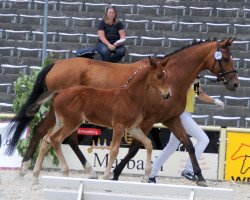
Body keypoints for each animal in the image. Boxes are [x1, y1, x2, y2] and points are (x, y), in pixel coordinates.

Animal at [28, 56, 170, 181]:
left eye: (166, 75)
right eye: (159, 76)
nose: (167, 94)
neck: (130, 97)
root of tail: (60, 92)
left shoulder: (132, 128)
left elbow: (148, 144)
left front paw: (146, 176)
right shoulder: (119, 126)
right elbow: (114, 150)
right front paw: (106, 176)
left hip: (60, 122)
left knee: (47, 139)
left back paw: (35, 176)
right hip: (71, 123)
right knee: (56, 140)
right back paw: (65, 173)